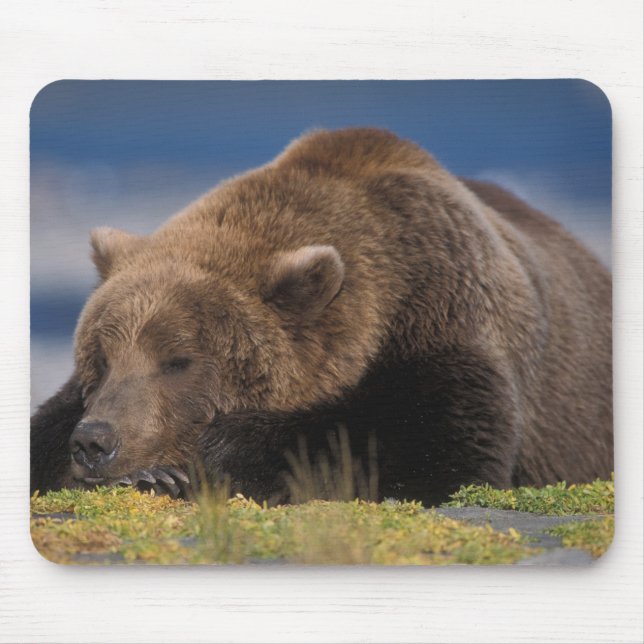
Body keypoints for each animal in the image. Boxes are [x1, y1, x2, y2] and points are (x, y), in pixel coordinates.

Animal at [30, 127, 613, 506]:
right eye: (100, 359)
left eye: (178, 360)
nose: (95, 441)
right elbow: (42, 439)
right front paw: (149, 474)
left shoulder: (447, 316)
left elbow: (432, 448)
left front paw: (197, 462)